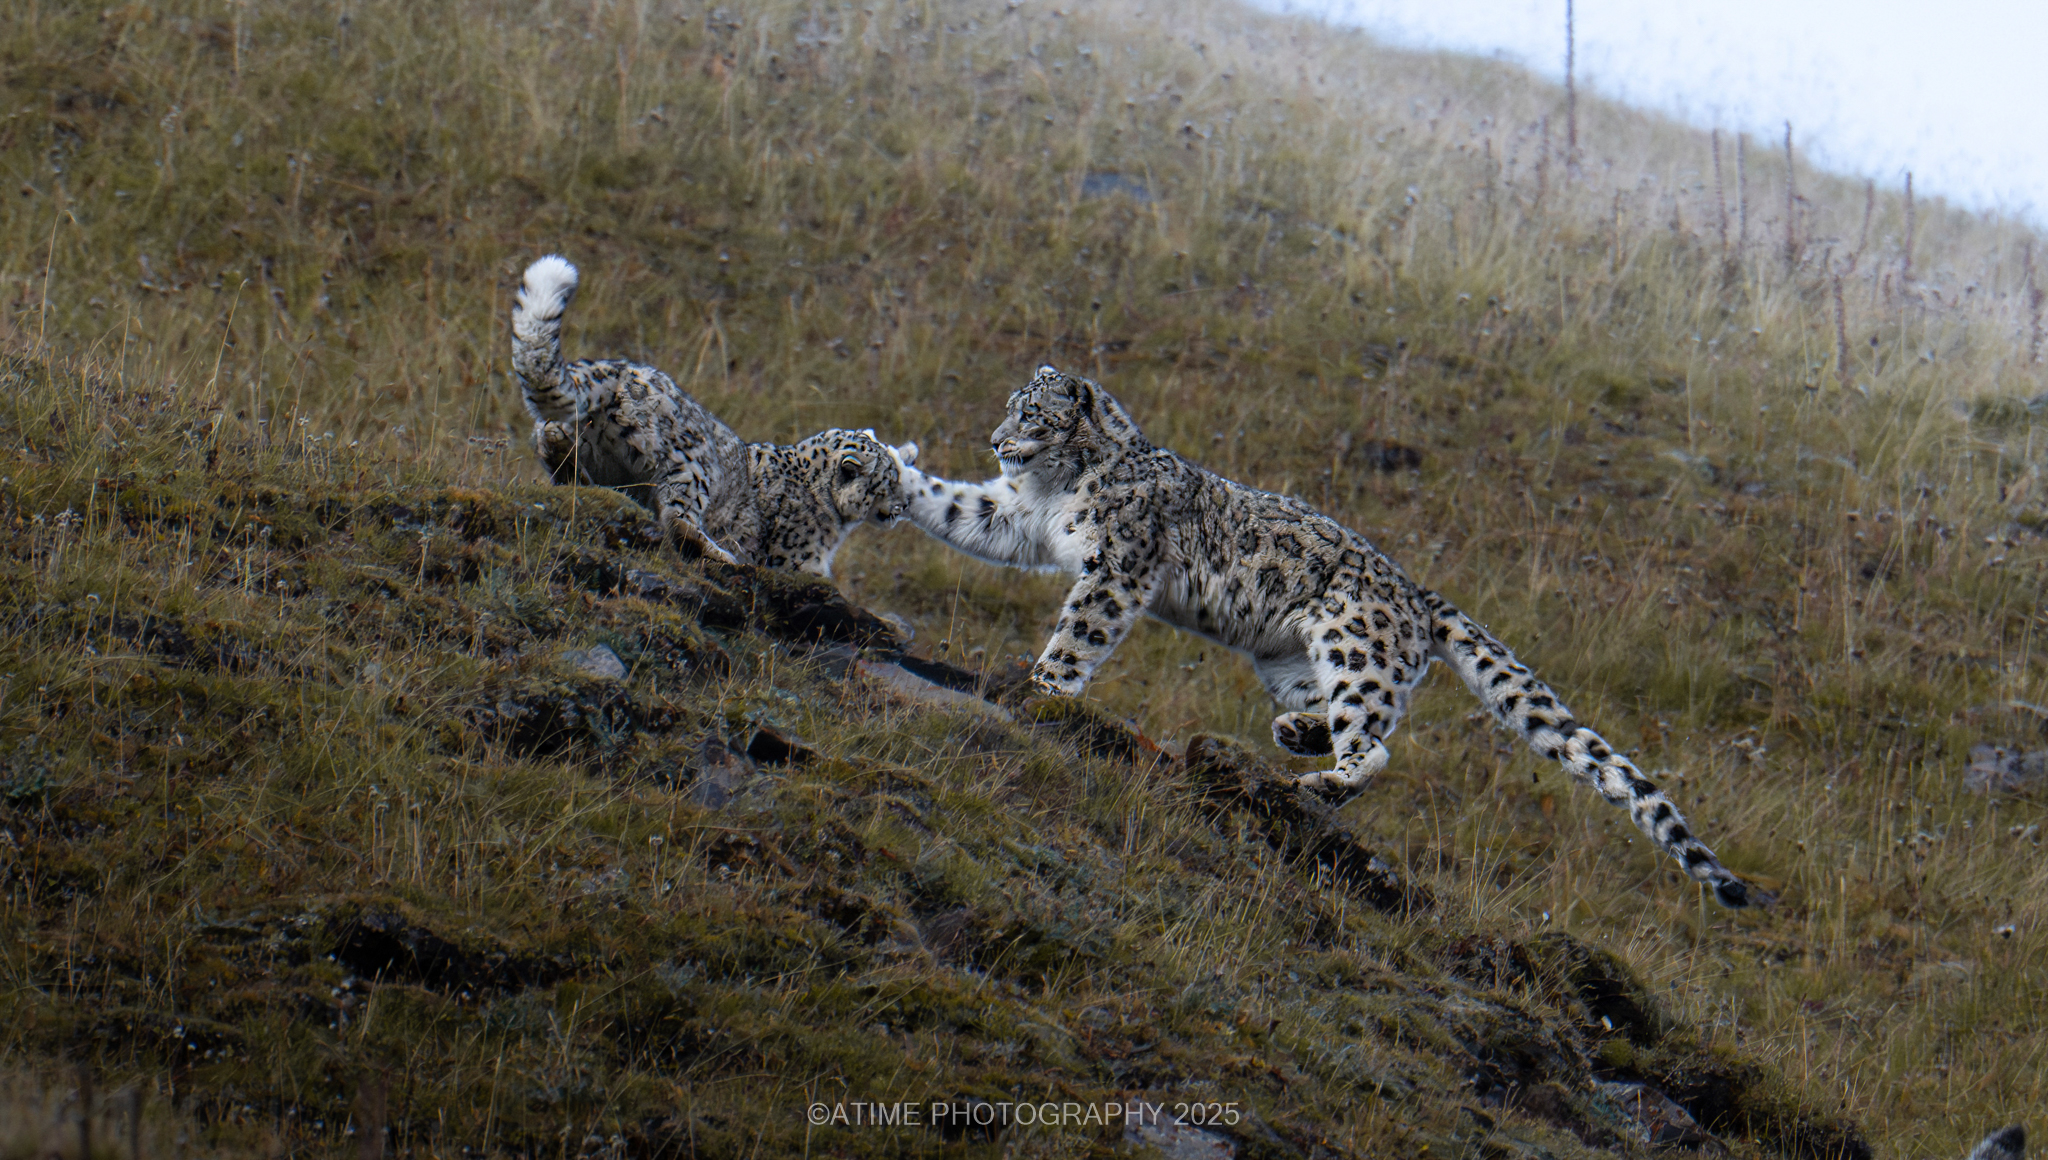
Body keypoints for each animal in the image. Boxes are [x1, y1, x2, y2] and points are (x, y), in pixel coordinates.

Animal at [510, 254, 906, 576]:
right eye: (889, 481)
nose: (901, 509)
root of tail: (618, 370)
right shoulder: (798, 559)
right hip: (694, 466)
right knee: (678, 518)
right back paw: (720, 554)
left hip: (584, 440)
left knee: (553, 441)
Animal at [893, 364, 1767, 908]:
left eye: (1031, 413)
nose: (996, 440)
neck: (1053, 488)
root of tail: (1417, 594)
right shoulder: (1015, 520)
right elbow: (955, 508)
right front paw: (887, 471)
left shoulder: (1117, 568)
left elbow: (1079, 634)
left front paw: (1042, 686)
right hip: (1294, 659)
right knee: (1349, 718)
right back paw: (1296, 735)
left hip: (1358, 653)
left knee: (1375, 746)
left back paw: (1320, 782)